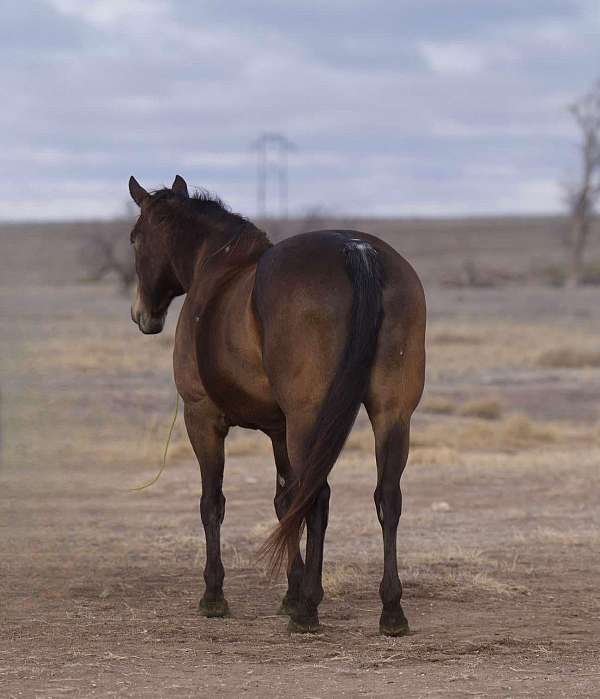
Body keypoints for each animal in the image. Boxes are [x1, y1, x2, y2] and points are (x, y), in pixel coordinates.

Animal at [127, 174, 426, 636]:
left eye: (135, 238)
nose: (141, 314)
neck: (216, 268)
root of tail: (357, 251)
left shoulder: (203, 418)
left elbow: (213, 502)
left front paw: (215, 595)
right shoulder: (278, 429)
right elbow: (285, 502)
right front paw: (289, 591)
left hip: (309, 419)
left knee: (318, 497)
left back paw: (309, 610)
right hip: (391, 413)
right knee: (387, 498)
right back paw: (391, 610)